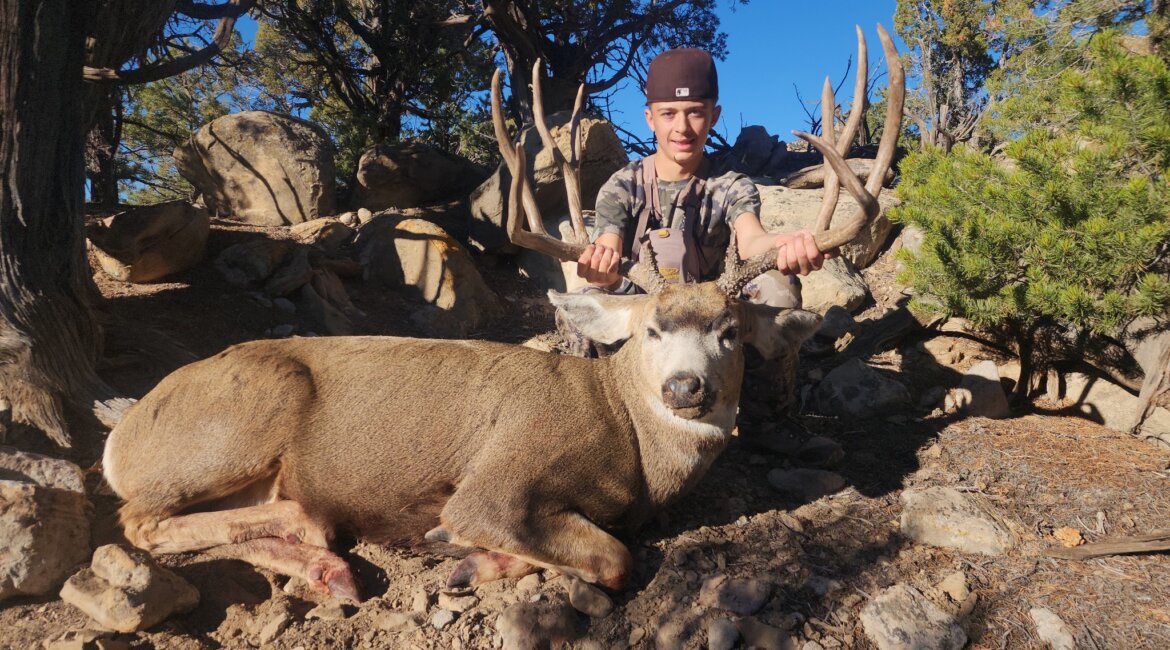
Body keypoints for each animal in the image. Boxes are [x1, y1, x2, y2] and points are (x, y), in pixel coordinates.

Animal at [101, 27, 904, 602]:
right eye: (649, 330)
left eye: (731, 332)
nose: (686, 387)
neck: (629, 444)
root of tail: (123, 434)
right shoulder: (496, 484)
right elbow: (611, 557)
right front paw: (460, 550)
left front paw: (470, 564)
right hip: (248, 414)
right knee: (141, 520)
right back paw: (323, 544)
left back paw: (328, 566)